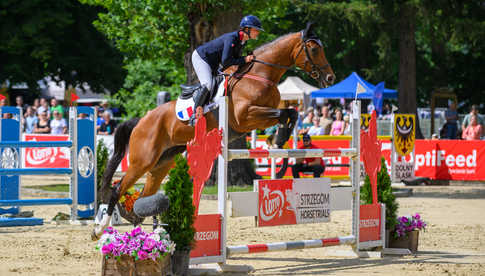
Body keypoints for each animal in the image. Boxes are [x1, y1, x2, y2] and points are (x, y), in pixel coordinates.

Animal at [91, 23, 332, 239]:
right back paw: (100, 228)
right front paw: (279, 145)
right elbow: (283, 114)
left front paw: (280, 145)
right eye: (314, 49)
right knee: (117, 188)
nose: (330, 78)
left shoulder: (260, 117)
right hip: (143, 161)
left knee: (143, 194)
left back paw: (135, 222)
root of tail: (142, 120)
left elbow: (291, 113)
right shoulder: (245, 117)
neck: (260, 74)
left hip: (161, 163)